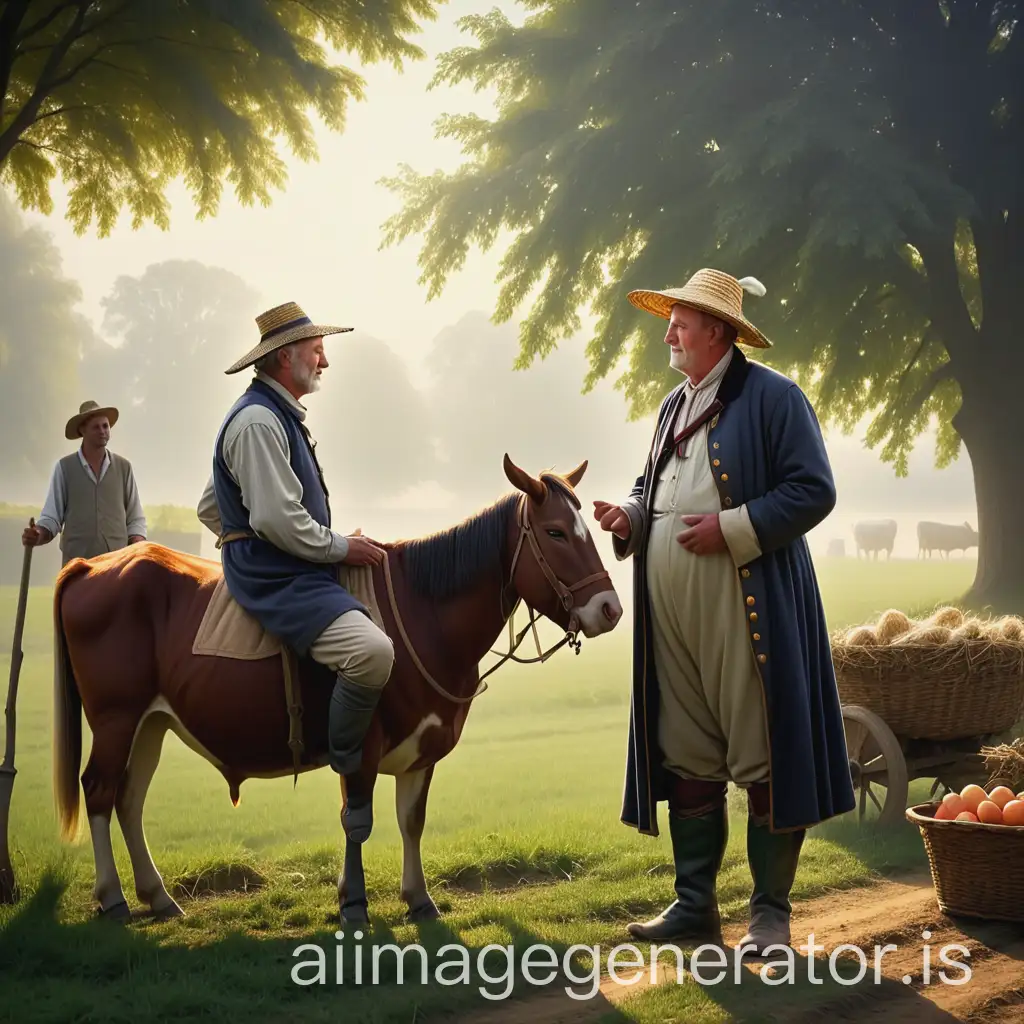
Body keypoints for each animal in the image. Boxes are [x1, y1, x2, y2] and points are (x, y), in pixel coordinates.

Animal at [54, 452, 622, 925]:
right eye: (555, 533)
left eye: (586, 530)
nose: (610, 609)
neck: (422, 611)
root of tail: (93, 566)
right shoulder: (361, 748)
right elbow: (357, 821)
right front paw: (353, 902)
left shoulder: (421, 753)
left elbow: (411, 820)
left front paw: (419, 898)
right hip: (116, 719)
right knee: (100, 791)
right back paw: (113, 897)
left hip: (150, 722)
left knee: (129, 799)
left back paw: (157, 895)